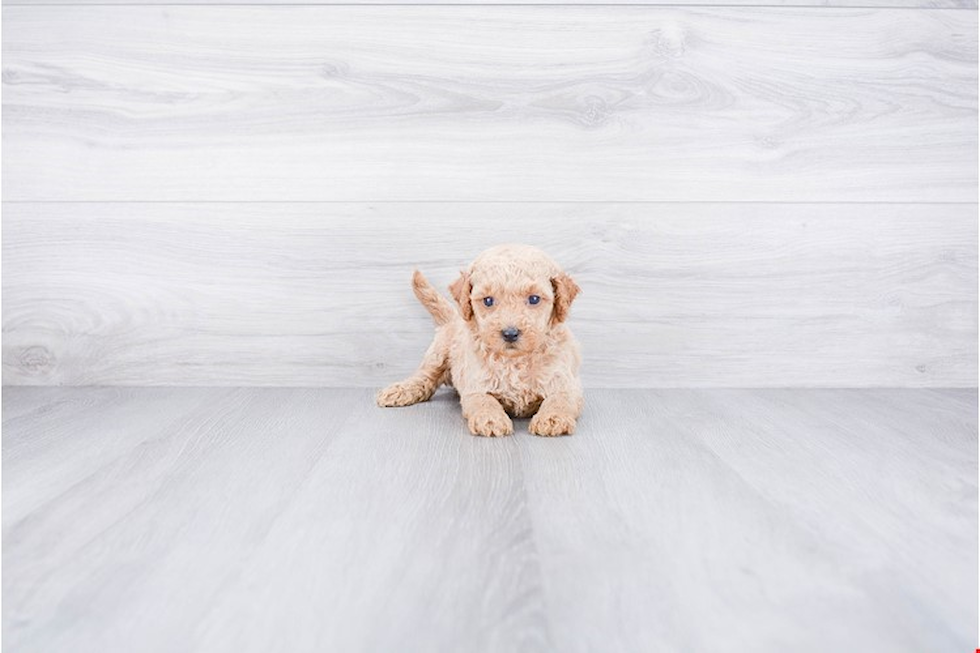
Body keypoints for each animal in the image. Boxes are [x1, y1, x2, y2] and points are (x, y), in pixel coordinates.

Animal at [376, 242, 580, 436]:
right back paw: (400, 390)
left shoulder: (565, 381)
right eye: (488, 301)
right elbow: (484, 401)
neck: (513, 360)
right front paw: (491, 420)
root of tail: (453, 318)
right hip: (437, 355)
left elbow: (560, 398)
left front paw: (552, 418)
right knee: (424, 377)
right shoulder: (476, 384)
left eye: (534, 299)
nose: (510, 333)